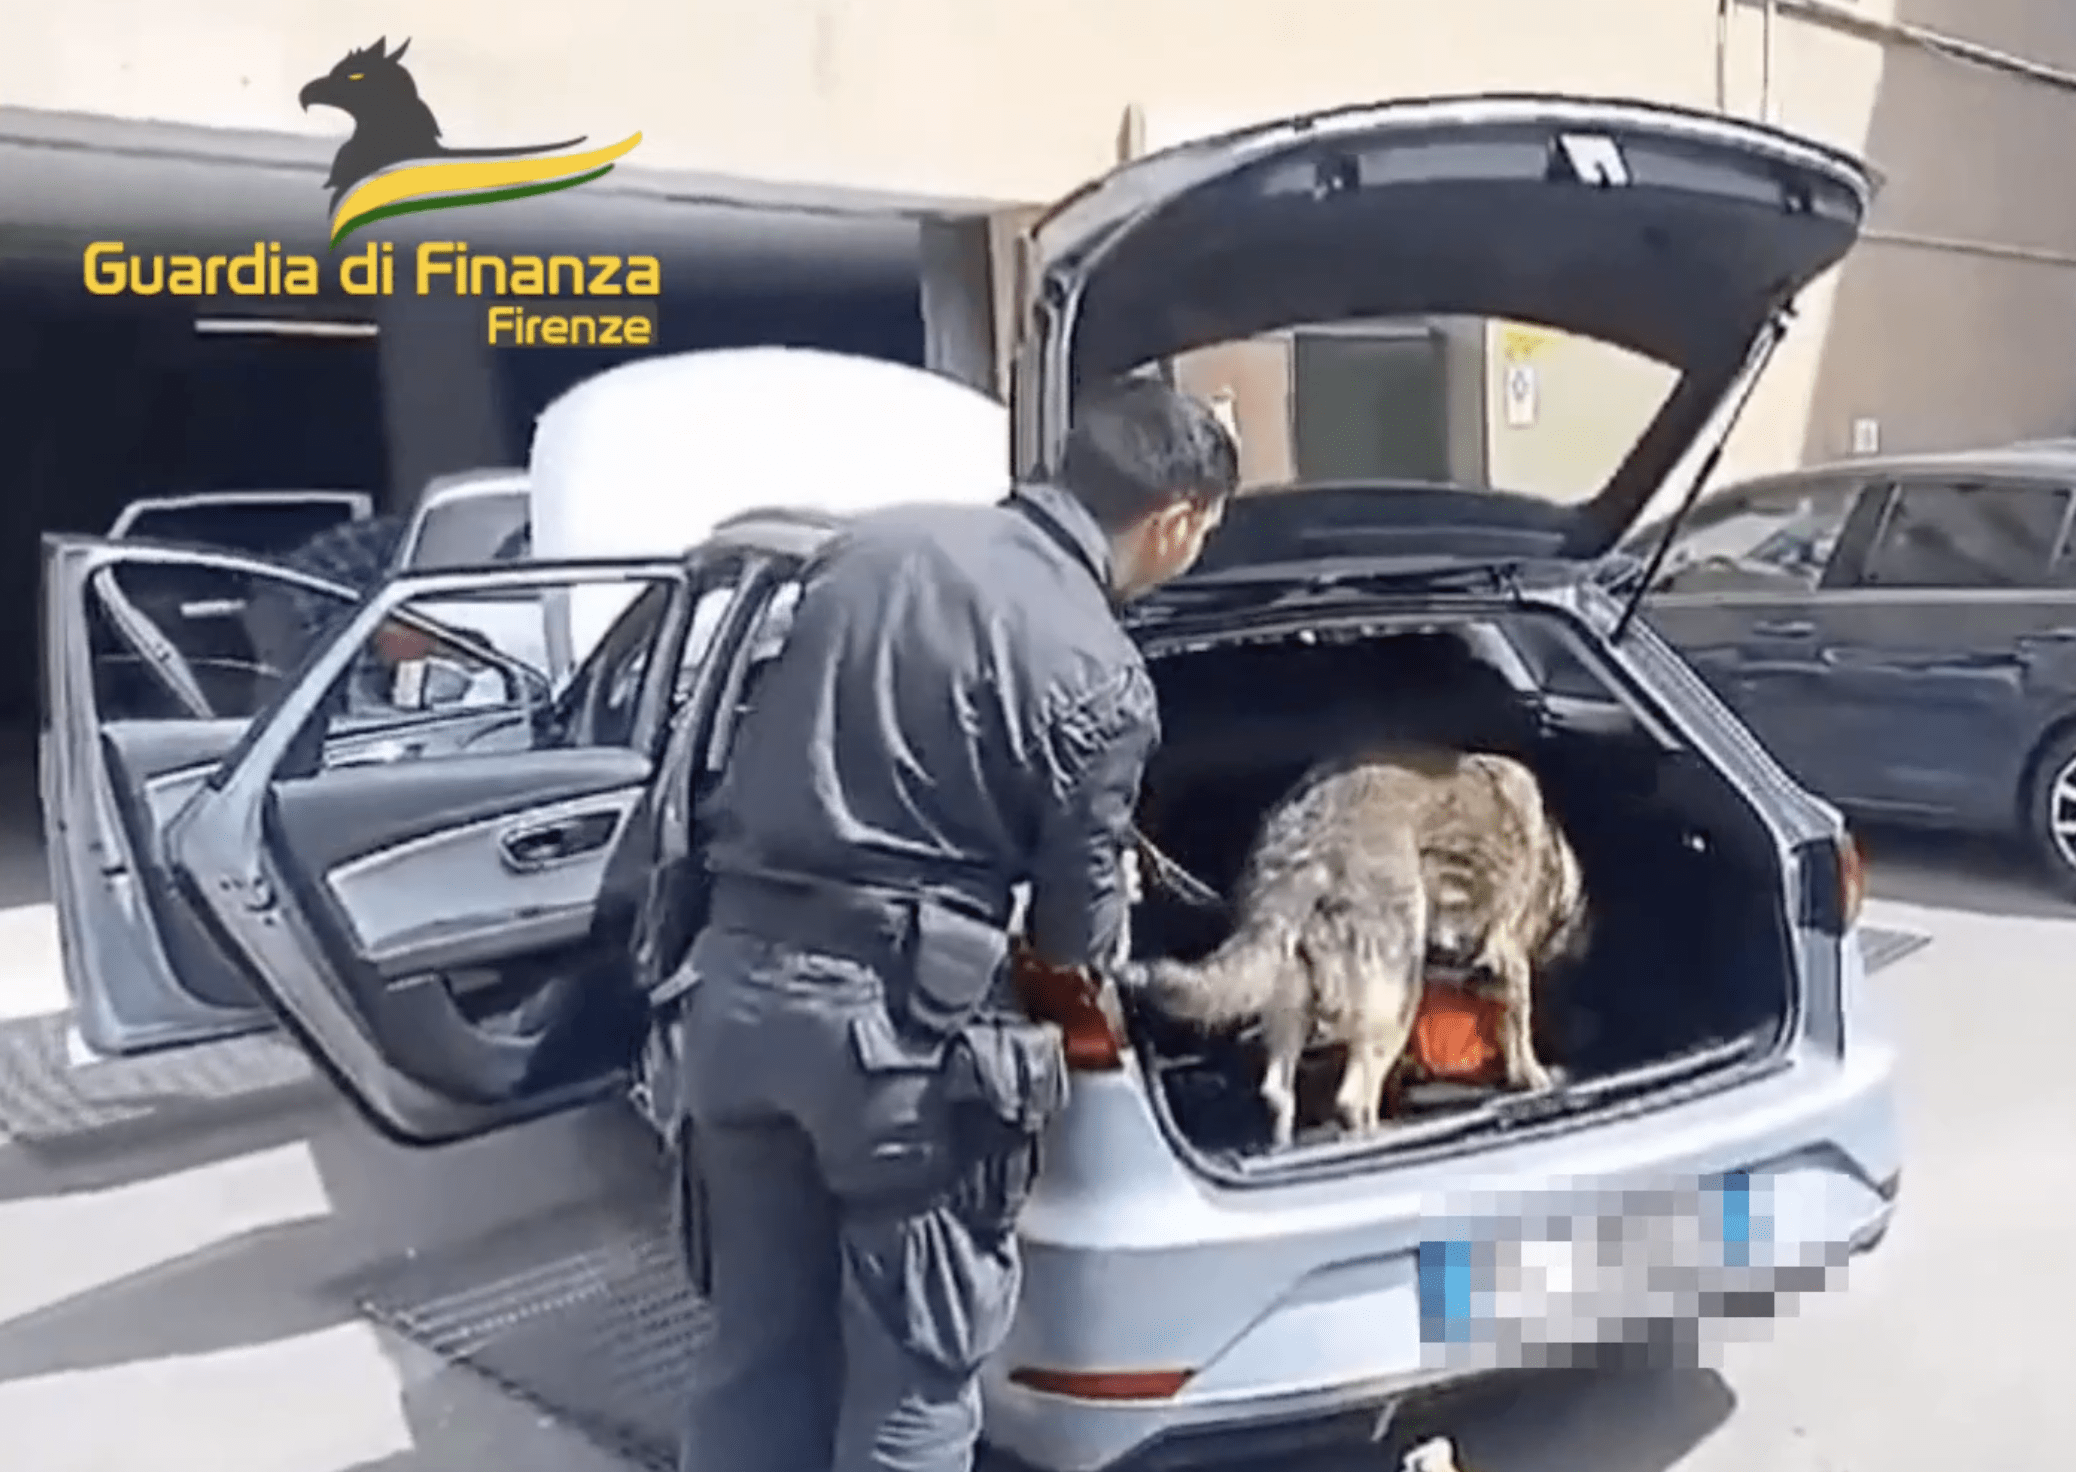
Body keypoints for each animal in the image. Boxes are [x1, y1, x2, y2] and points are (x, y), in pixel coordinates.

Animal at [1135, 742, 1591, 1149]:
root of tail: (1313, 835)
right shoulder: (1508, 961)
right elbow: (1517, 1026)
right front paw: (1532, 1076)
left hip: (1294, 986)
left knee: (1278, 1089)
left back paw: (1287, 1145)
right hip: (1397, 990)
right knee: (1353, 1098)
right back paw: (1378, 1136)